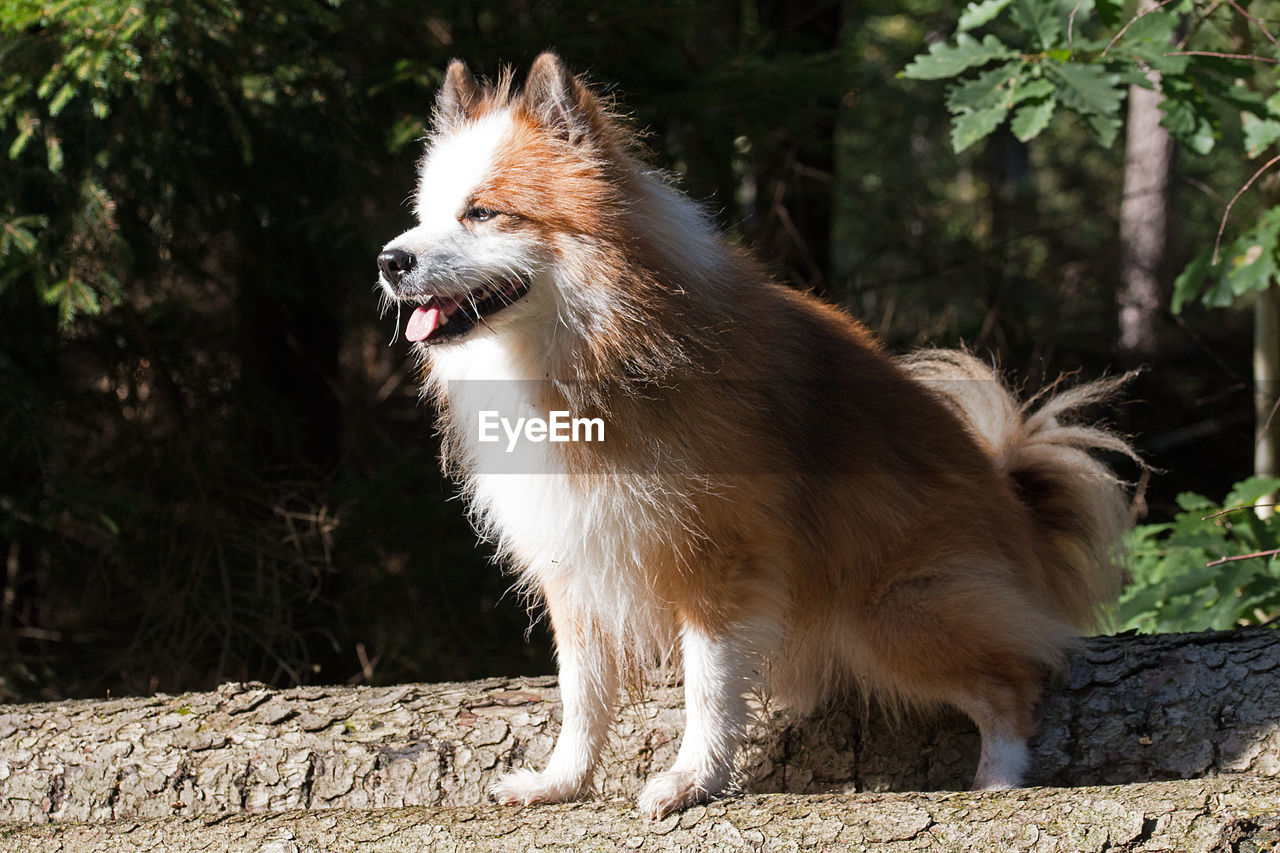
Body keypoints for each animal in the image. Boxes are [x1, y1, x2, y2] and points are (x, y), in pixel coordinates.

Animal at [373, 53, 1136, 819]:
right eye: (424, 216)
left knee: (1016, 683)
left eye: (481, 212)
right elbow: (582, 692)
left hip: (894, 608)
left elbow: (709, 685)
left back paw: (998, 781)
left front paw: (692, 780)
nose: (388, 261)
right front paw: (563, 781)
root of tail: (1021, 514)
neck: (595, 354)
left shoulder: (720, 560)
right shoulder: (578, 560)